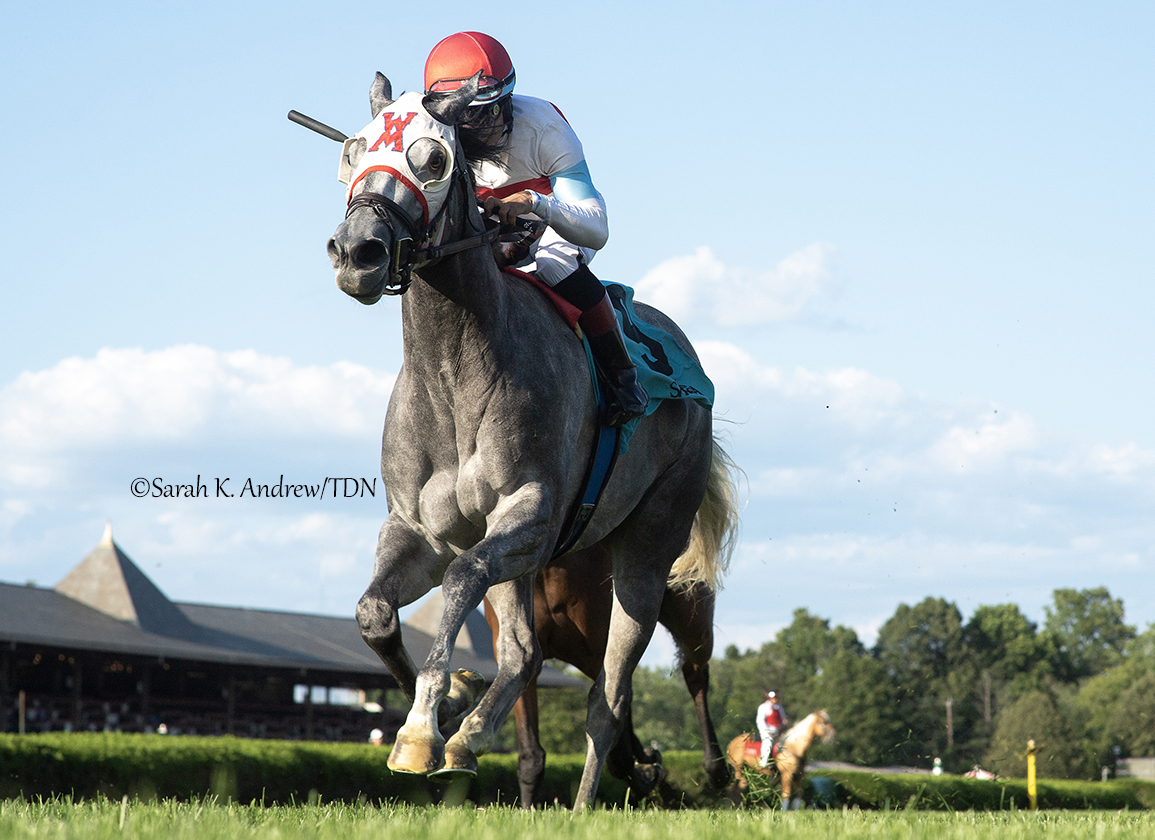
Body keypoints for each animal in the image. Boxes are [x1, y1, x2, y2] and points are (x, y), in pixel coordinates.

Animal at [483, 542, 733, 808]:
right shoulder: (523, 662)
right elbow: (531, 755)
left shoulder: (600, 653)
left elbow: (618, 752)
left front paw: (647, 776)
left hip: (693, 617)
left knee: (695, 674)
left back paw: (715, 768)